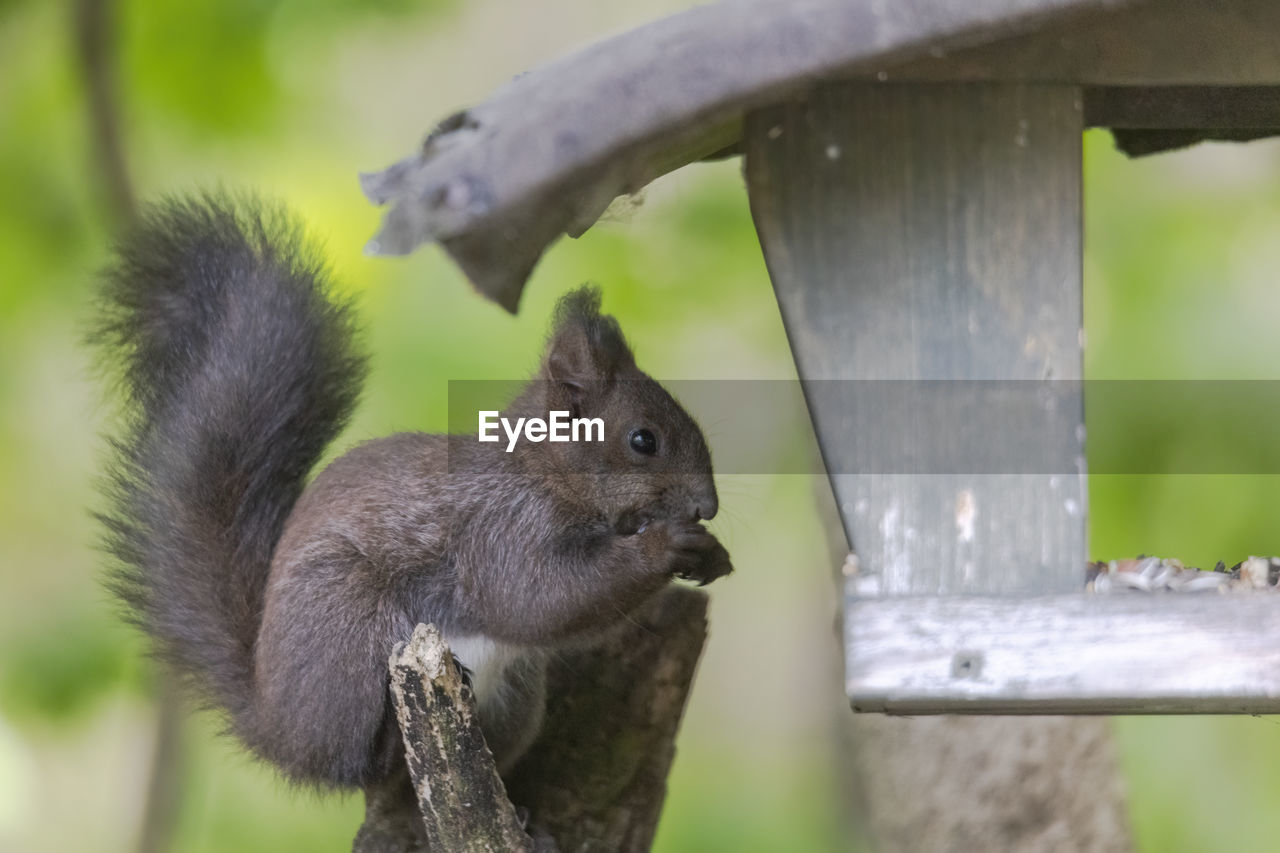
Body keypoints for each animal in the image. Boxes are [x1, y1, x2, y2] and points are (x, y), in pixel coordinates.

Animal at [94, 189, 737, 788]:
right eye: (643, 440)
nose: (706, 506)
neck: (541, 469)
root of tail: (280, 727)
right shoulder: (499, 527)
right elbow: (532, 597)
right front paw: (667, 546)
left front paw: (711, 554)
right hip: (347, 628)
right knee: (359, 765)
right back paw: (378, 745)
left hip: (516, 702)